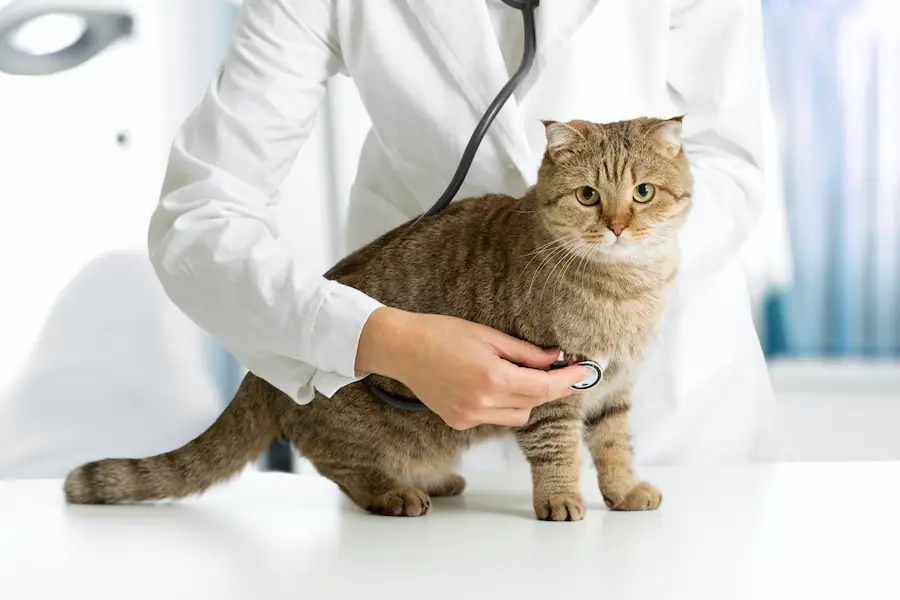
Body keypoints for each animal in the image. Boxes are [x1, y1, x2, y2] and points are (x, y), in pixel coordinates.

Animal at [65, 116, 696, 520]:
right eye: (589, 196)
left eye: (643, 192)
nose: (618, 225)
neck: (627, 290)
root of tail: (261, 375)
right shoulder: (552, 391)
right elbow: (559, 452)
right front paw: (562, 500)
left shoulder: (614, 392)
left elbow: (613, 446)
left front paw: (624, 490)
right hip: (357, 430)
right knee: (343, 472)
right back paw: (394, 495)